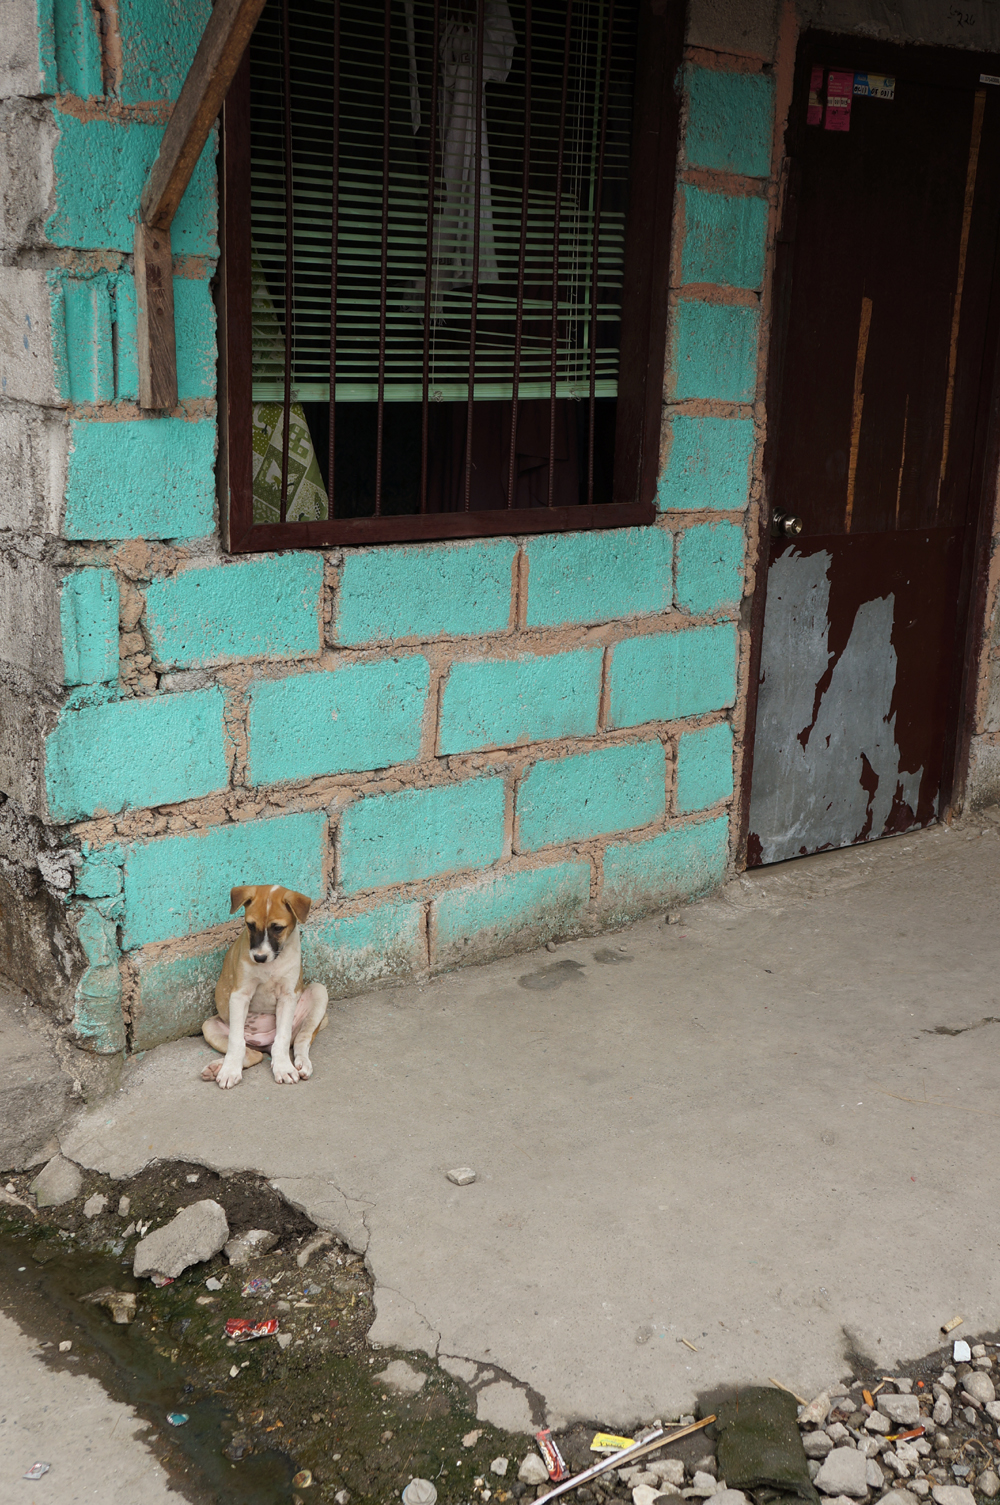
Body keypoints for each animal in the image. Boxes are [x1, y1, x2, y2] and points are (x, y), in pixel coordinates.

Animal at [201, 884, 329, 1090]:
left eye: (278, 928)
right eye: (250, 925)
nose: (259, 957)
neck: (271, 965)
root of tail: (264, 1043)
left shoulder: (287, 996)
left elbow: (283, 1038)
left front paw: (283, 1067)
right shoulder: (240, 994)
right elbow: (236, 1042)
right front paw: (229, 1071)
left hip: (319, 991)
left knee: (301, 1040)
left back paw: (302, 1063)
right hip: (209, 1026)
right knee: (252, 1053)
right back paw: (218, 1068)